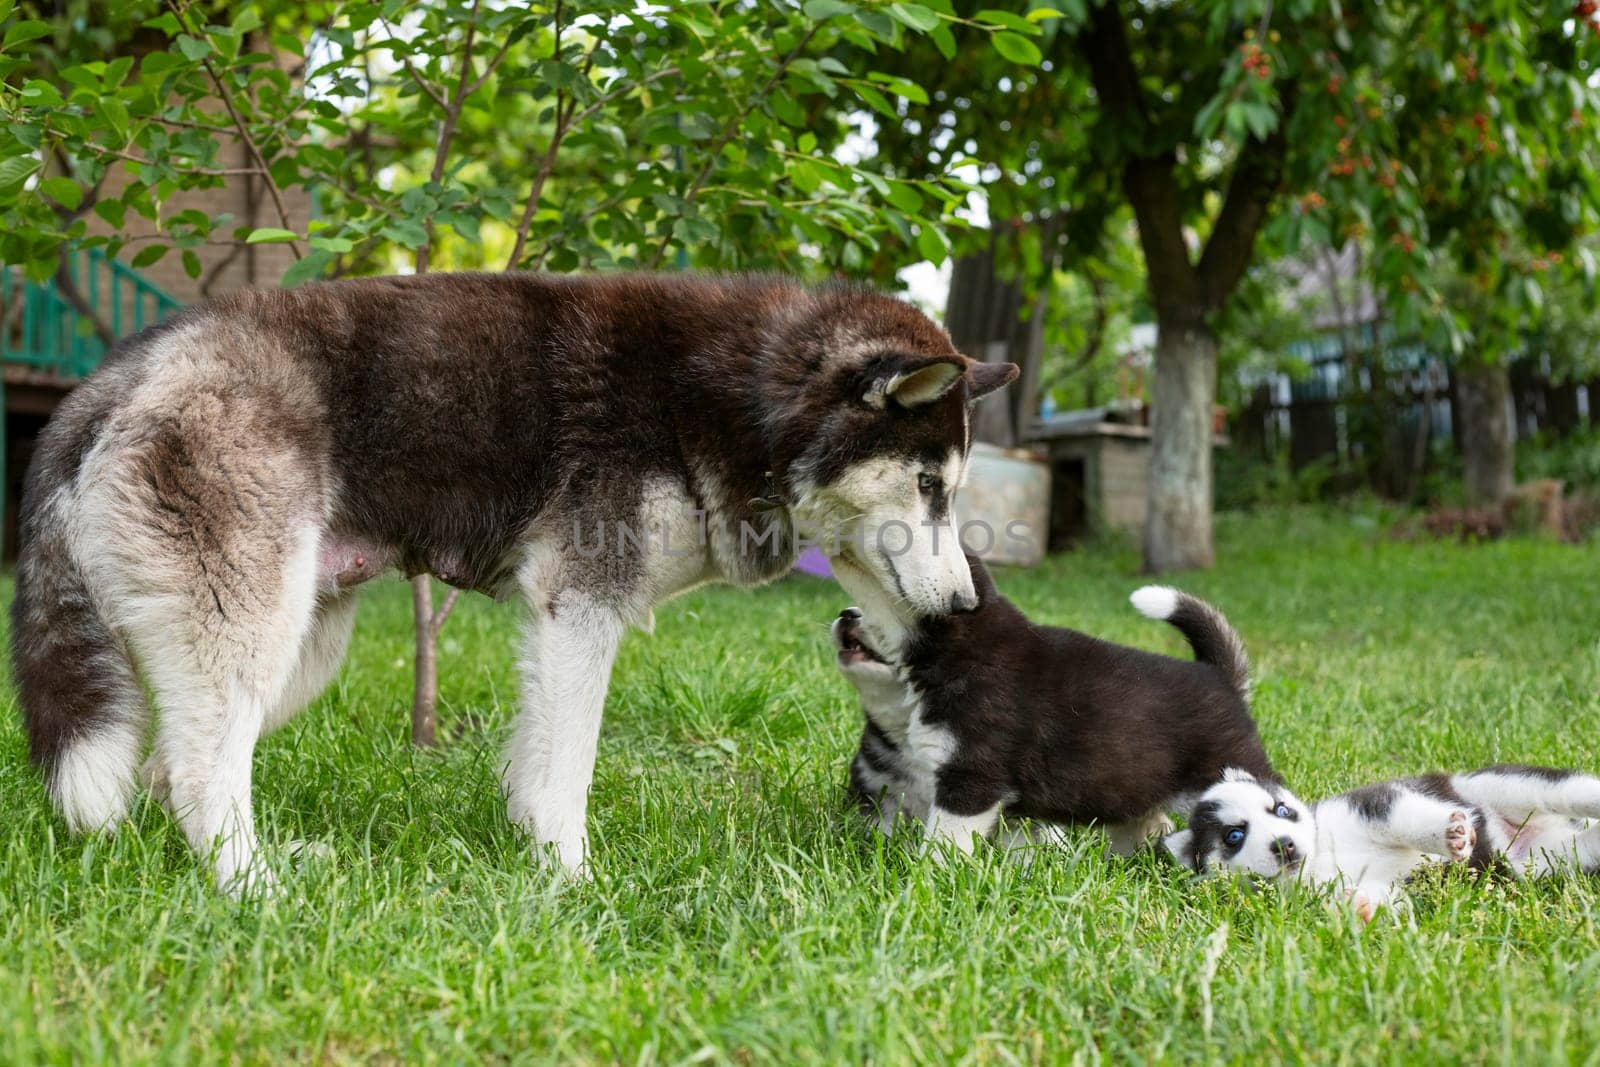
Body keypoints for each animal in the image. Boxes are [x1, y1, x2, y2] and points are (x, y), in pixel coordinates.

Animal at [12, 271, 1011, 889]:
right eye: (930, 485)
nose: (966, 604)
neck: (745, 401)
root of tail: (123, 369)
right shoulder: (581, 609)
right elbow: (566, 772)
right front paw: (573, 879)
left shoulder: (558, 623)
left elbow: (538, 766)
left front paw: (538, 858)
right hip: (249, 625)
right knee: (192, 768)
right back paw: (251, 890)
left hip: (298, 647)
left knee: (166, 765)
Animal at [832, 559, 1280, 857]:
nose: (845, 613)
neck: (961, 655)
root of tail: (1218, 675)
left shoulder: (971, 779)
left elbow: (946, 838)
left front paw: (930, 874)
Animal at [1171, 767, 1600, 921]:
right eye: (1234, 835)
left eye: (1280, 810)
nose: (1285, 845)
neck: (1323, 856)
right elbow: (1384, 900)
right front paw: (1357, 907)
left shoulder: (1375, 804)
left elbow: (1406, 819)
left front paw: (1450, 835)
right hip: (1554, 861)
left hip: (1502, 786)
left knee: (1566, 790)